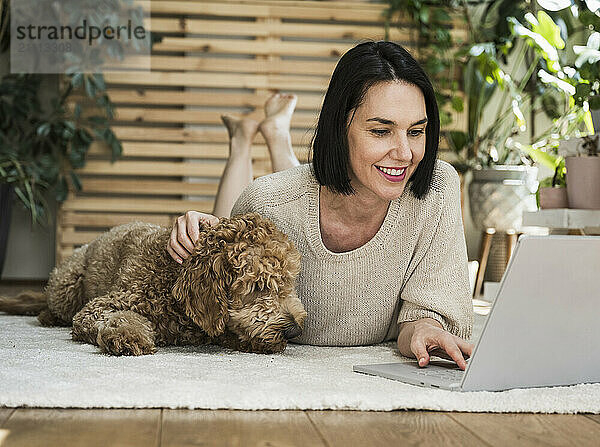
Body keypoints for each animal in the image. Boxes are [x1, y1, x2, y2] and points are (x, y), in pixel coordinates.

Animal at [0, 214, 308, 356]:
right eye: (258, 287)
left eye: (289, 281)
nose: (294, 329)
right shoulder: (101, 306)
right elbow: (119, 319)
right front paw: (127, 335)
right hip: (67, 286)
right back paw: (48, 316)